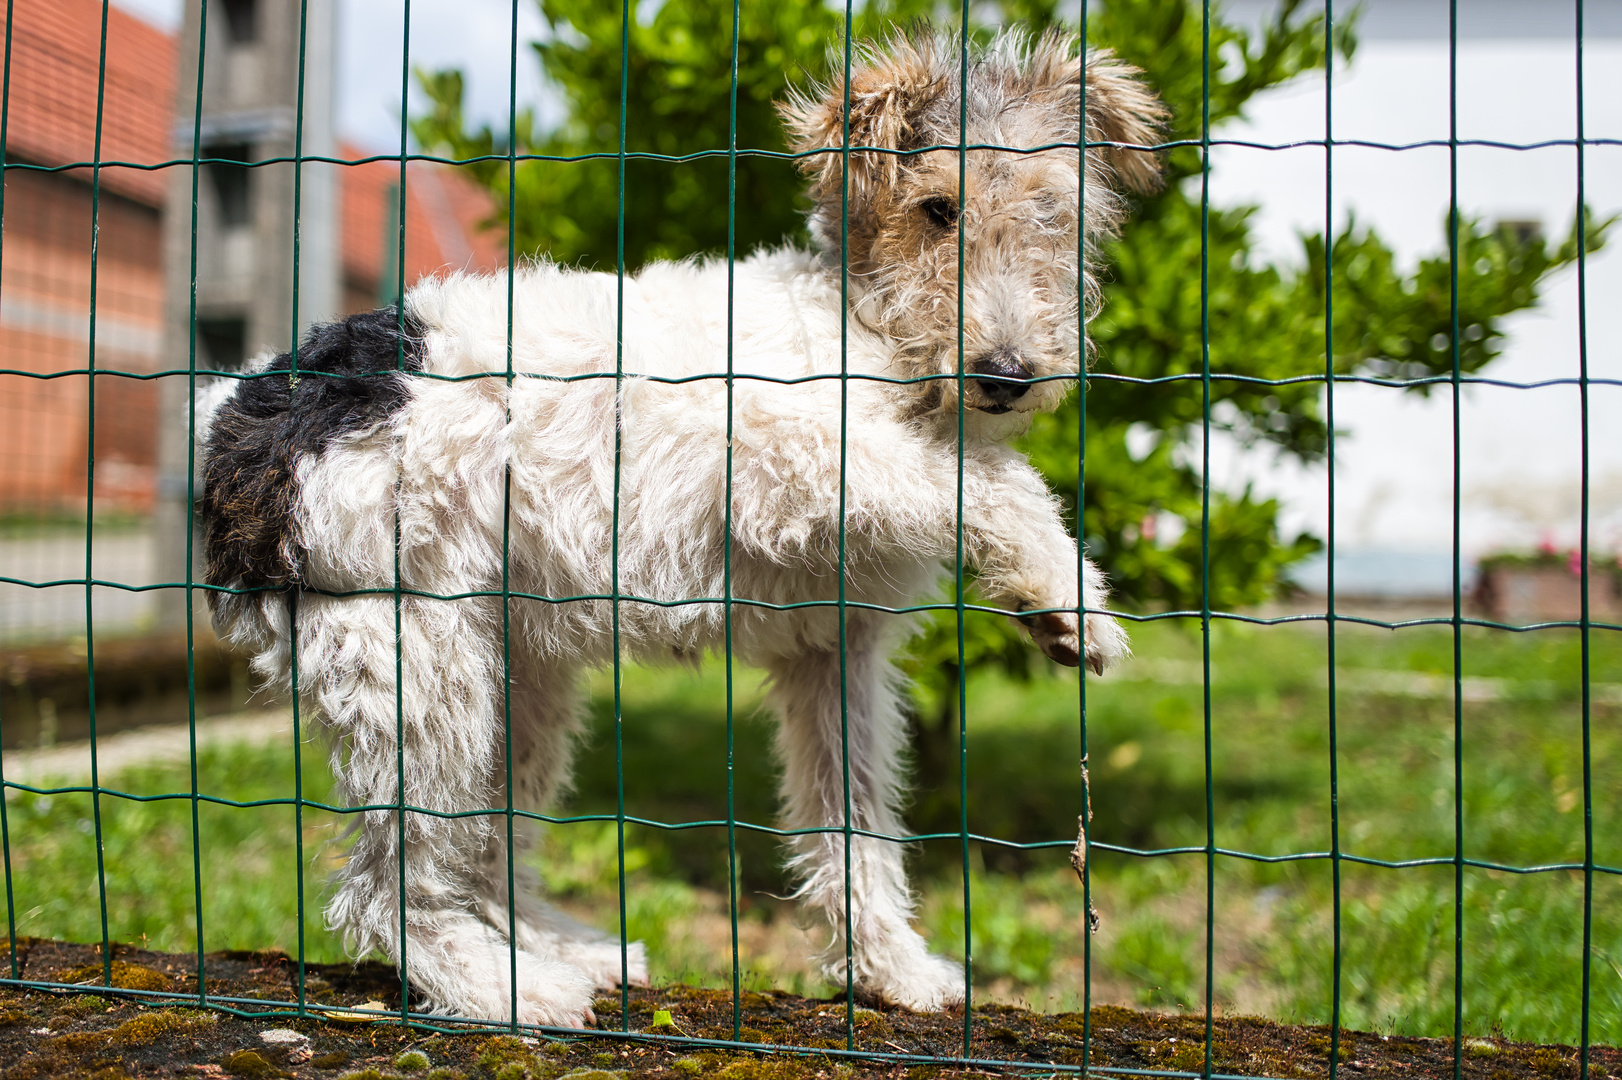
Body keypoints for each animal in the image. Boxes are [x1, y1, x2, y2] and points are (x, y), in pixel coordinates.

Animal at [202, 29, 1161, 1024]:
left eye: (1055, 215)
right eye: (938, 208)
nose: (1007, 376)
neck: (860, 326)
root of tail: (243, 409)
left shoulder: (837, 648)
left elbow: (854, 825)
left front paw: (892, 970)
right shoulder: (793, 454)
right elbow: (987, 479)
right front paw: (1068, 596)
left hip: (515, 675)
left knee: (488, 856)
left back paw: (565, 949)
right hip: (416, 668)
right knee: (391, 884)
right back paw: (504, 990)